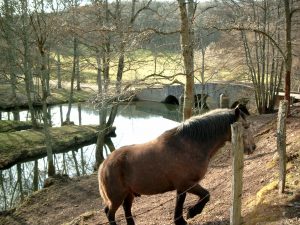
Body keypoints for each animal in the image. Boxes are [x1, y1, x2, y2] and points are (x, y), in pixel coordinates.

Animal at [98, 106, 255, 225]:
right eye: (246, 126)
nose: (253, 147)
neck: (188, 144)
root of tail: (104, 164)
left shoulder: (182, 186)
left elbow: (181, 203)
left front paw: (181, 220)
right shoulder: (186, 183)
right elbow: (205, 195)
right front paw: (192, 212)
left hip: (128, 193)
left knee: (126, 209)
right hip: (116, 197)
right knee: (109, 213)